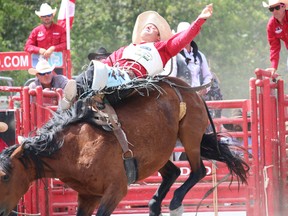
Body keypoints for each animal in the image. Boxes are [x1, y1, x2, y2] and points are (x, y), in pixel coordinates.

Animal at [0, 77, 250, 215]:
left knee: (198, 170)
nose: (2, 211)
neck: (75, 148)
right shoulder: (87, 196)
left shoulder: (116, 190)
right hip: (156, 155)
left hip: (189, 135)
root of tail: (186, 87)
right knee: (173, 172)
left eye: (5, 176)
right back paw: (154, 204)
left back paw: (175, 202)